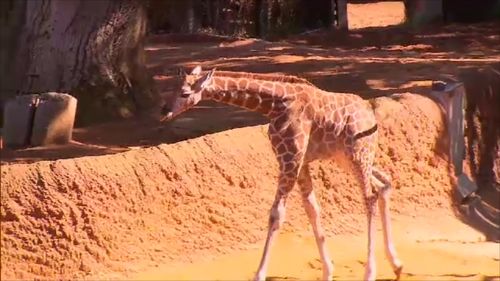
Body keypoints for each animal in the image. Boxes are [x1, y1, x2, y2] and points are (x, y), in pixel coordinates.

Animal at [160, 66, 402, 280]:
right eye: (170, 89)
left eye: (185, 93)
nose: (164, 112)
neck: (274, 105)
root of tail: (371, 116)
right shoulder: (300, 162)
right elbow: (312, 209)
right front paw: (328, 271)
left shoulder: (290, 159)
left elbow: (276, 214)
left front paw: (259, 275)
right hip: (346, 158)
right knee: (384, 183)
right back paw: (396, 264)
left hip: (359, 154)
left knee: (369, 198)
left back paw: (370, 272)